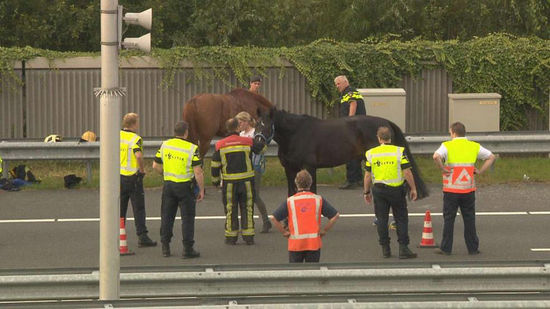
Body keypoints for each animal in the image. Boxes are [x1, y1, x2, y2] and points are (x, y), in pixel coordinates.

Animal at [264, 107, 432, 199]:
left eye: (266, 123)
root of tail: (387, 123)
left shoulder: (309, 167)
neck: (295, 132)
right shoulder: (289, 169)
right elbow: (291, 193)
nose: (259, 142)